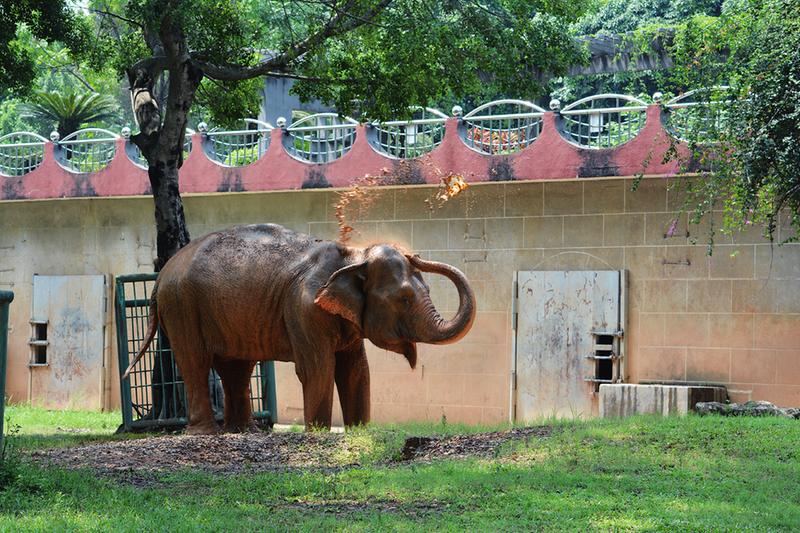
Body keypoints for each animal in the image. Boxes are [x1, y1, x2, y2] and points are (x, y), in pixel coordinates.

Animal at [123, 223, 476, 434]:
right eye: (403, 298)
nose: (416, 253)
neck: (352, 254)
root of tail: (161, 275)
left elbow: (356, 370)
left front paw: (359, 431)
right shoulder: (304, 308)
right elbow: (317, 368)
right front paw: (317, 432)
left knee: (236, 367)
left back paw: (242, 431)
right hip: (182, 306)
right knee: (195, 363)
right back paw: (206, 433)